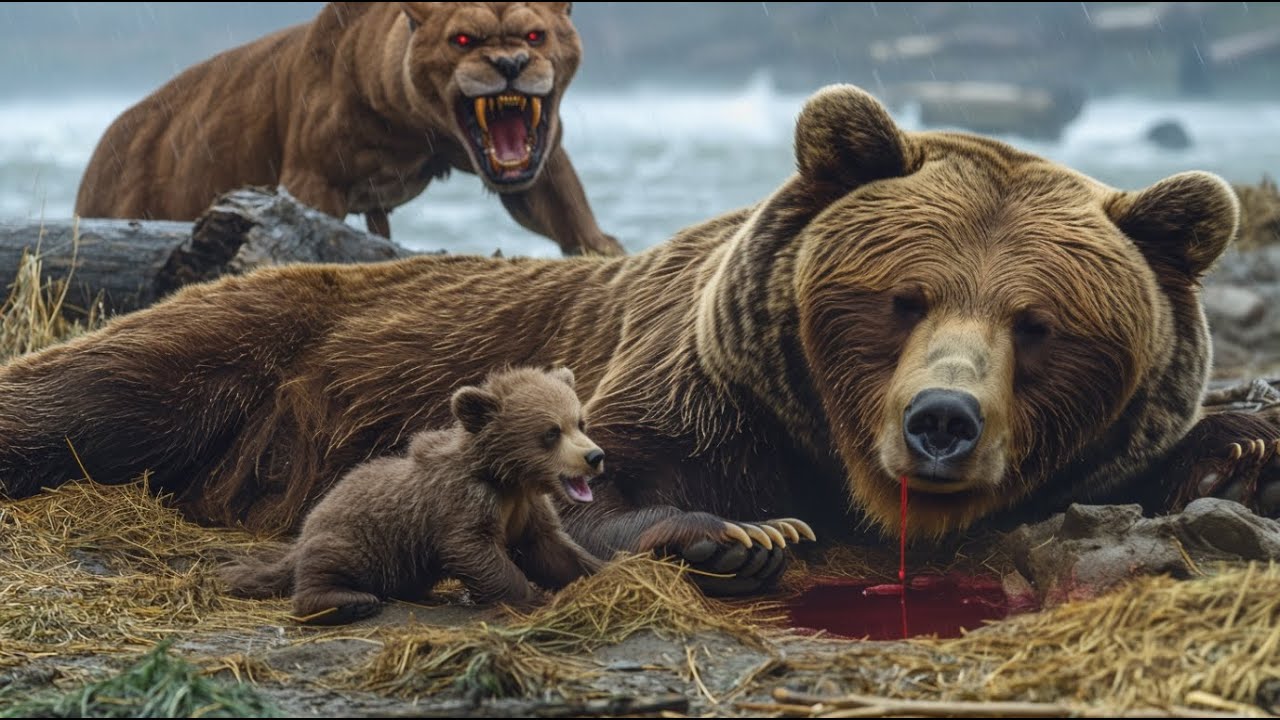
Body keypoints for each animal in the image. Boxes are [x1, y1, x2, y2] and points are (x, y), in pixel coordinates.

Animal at [2, 84, 1276, 596]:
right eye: (901, 298)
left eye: (1038, 325)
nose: (940, 421)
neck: (823, 447)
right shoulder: (687, 380)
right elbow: (602, 475)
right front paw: (737, 533)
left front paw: (1232, 445)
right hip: (238, 345)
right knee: (80, 397)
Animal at [74, 2, 624, 256]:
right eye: (462, 39)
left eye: (535, 35)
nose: (510, 63)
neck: (421, 127)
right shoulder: (314, 179)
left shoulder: (539, 158)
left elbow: (569, 212)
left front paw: (605, 251)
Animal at [220, 366, 607, 624]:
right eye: (550, 432)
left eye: (579, 422)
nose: (595, 456)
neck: (508, 480)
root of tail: (310, 519)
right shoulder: (461, 502)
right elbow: (474, 550)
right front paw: (531, 596)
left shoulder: (527, 508)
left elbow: (553, 549)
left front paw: (601, 570)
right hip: (355, 536)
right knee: (327, 566)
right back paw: (349, 602)